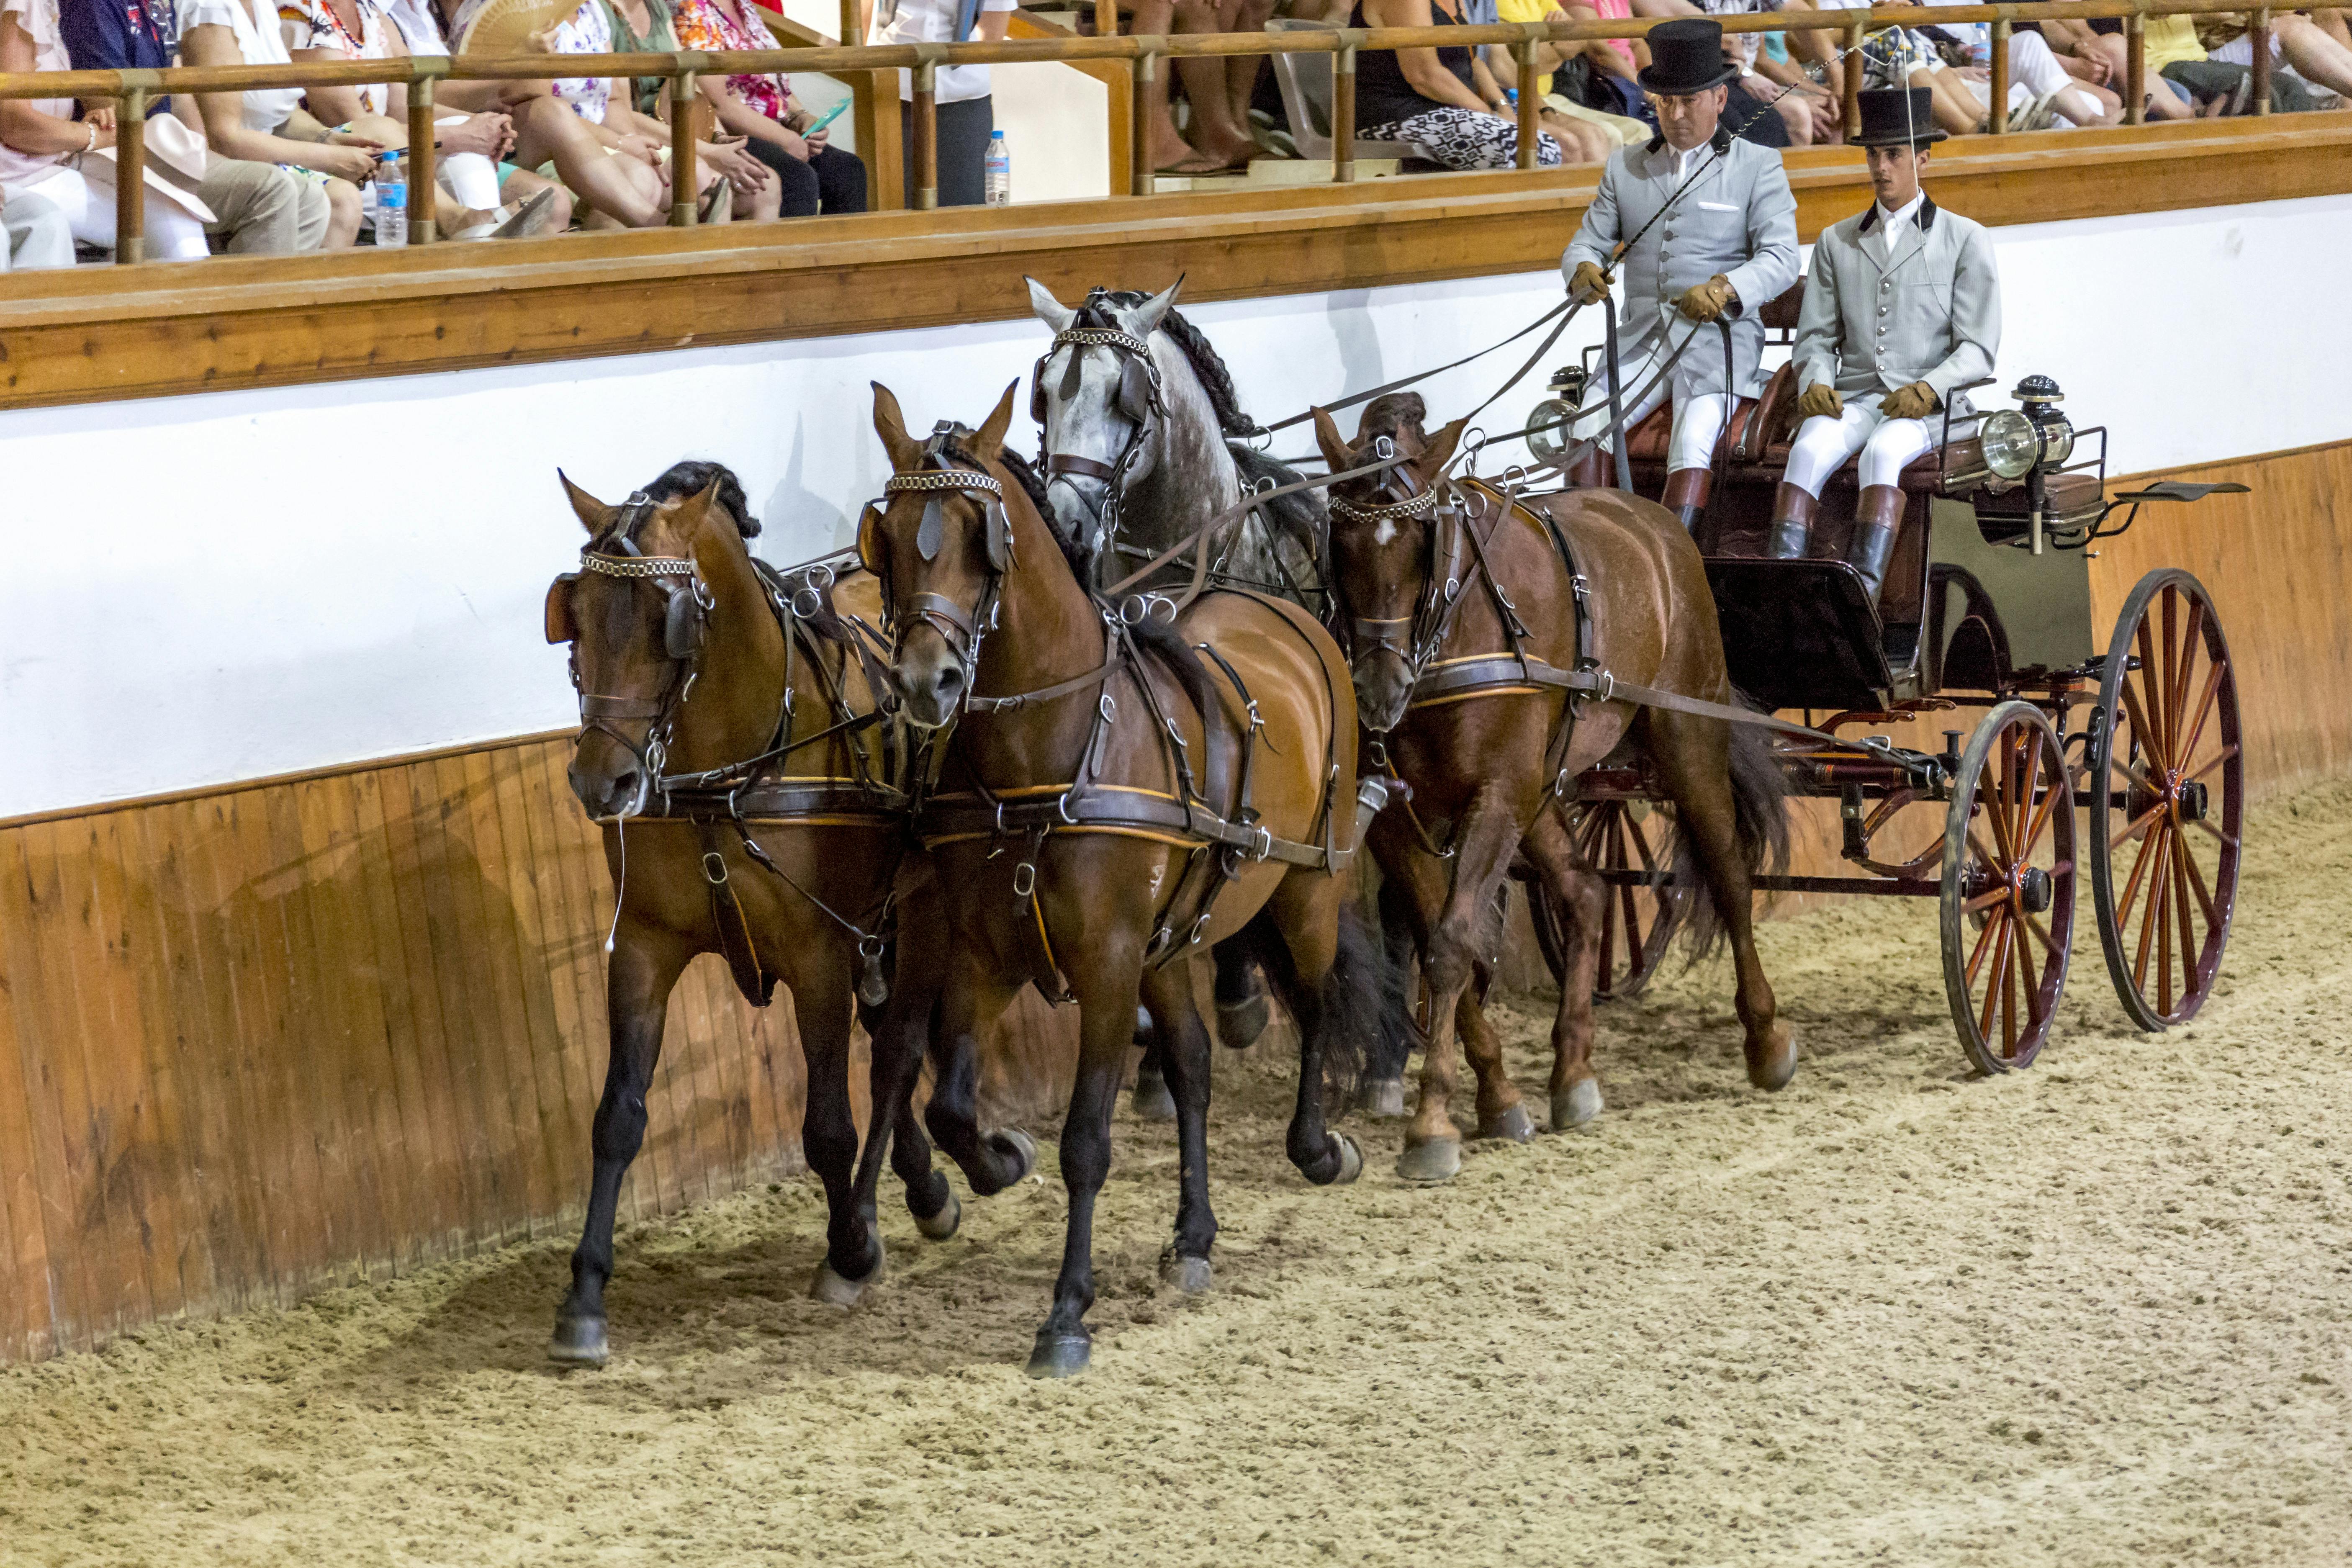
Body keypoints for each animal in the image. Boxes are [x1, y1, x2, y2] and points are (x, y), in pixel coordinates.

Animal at [555, 463, 1035, 1363]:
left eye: (668, 625)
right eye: (578, 620)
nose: (602, 781)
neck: (727, 768)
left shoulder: (816, 950)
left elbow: (827, 1126)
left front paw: (849, 1248)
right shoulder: (642, 946)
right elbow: (616, 1118)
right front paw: (584, 1296)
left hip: (918, 911)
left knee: (893, 1055)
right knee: (886, 1042)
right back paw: (924, 1190)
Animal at [865, 386, 1373, 1382]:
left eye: (982, 538)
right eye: (891, 539)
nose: (925, 681)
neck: (1048, 752)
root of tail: (1290, 617)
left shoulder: (1104, 966)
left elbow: (1086, 1146)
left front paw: (1066, 1311)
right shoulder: (989, 954)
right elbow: (949, 1104)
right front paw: (996, 1161)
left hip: (1305, 895)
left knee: (1315, 1004)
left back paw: (1318, 1147)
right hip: (1169, 943)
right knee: (1194, 1063)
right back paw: (1194, 1236)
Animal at [1317, 399, 1787, 1185]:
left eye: (1420, 540)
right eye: (1338, 537)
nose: (1378, 689)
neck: (1451, 630)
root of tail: (1656, 523)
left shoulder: (1494, 795)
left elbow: (1451, 944)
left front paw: (1431, 1124)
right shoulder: (1396, 814)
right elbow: (1438, 939)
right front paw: (1498, 1097)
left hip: (1684, 737)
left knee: (1726, 872)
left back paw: (1765, 1039)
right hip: (1542, 785)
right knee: (1587, 891)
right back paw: (1572, 1075)